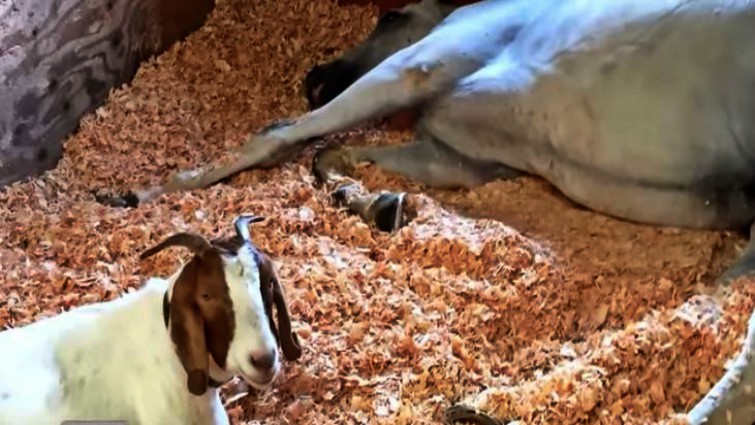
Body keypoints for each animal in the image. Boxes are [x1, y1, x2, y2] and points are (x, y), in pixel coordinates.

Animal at [100, 0, 755, 422]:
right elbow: (330, 153)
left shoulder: (417, 68)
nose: (316, 76)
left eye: (390, 16)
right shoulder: (458, 154)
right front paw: (373, 202)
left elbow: (283, 139)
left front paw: (145, 192)